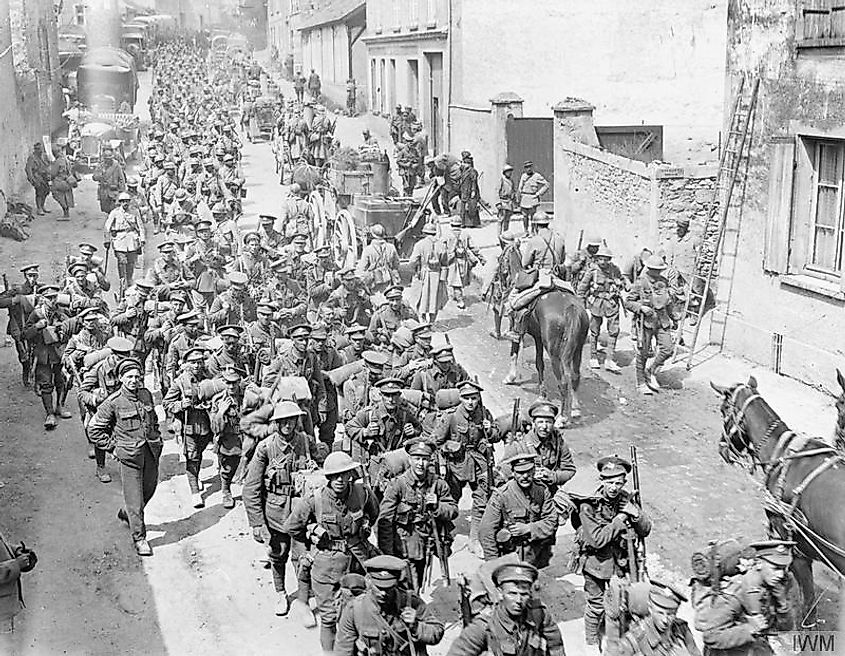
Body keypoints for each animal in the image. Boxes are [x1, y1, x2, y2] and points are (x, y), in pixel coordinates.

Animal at [504, 290, 592, 422]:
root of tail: (571, 308)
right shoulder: (538, 337)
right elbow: (539, 364)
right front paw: (542, 394)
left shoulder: (517, 328)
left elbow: (515, 352)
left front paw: (511, 377)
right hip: (578, 348)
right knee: (575, 376)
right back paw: (575, 409)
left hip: (554, 353)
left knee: (563, 382)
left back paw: (561, 418)